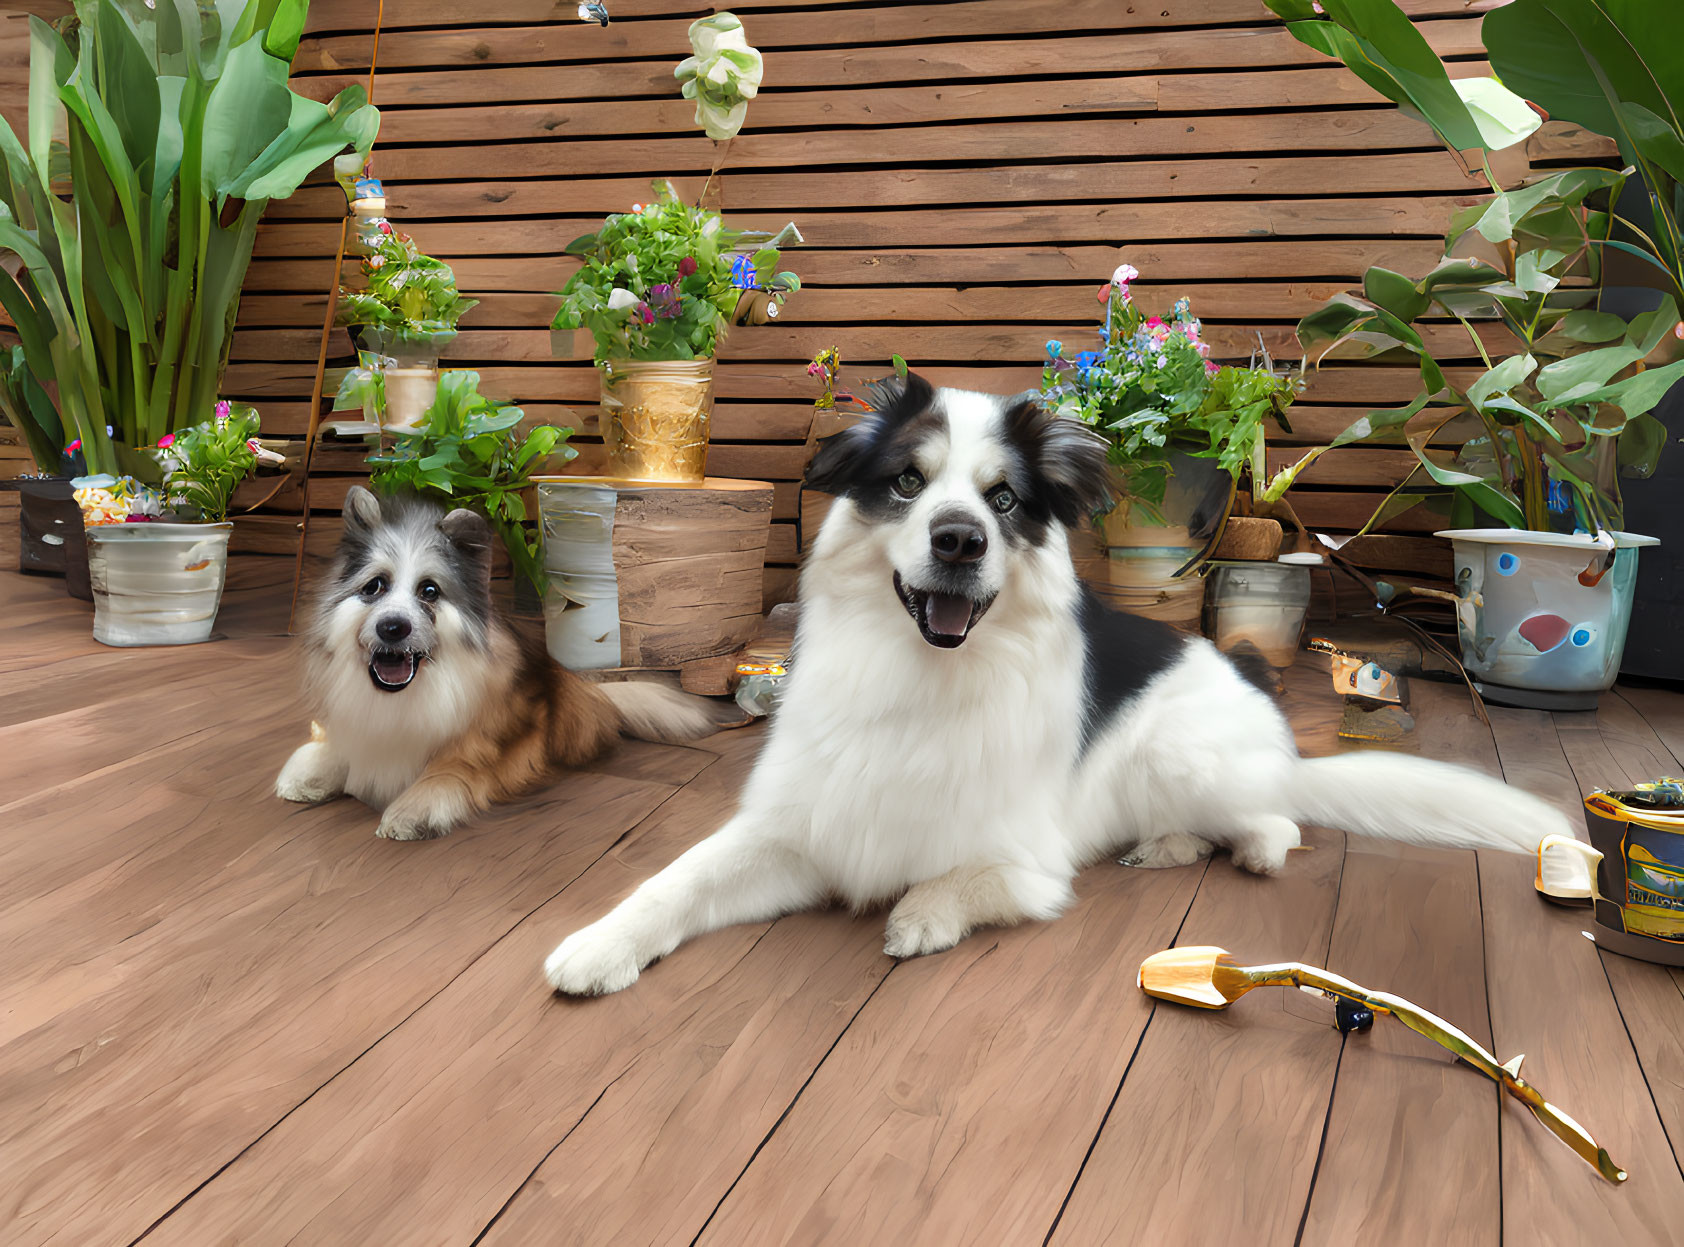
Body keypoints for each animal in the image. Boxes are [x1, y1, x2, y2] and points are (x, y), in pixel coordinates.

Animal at [274, 488, 717, 839]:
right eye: (374, 586)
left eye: (429, 591)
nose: (393, 627)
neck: (400, 695)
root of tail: (591, 691)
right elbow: (338, 745)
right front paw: (310, 773)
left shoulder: (476, 746)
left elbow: (448, 770)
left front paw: (411, 811)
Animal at [542, 375, 1562, 997]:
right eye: (907, 482)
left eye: (1003, 500)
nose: (959, 539)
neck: (923, 676)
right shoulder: (799, 828)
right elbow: (676, 880)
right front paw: (600, 943)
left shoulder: (1026, 862)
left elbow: (966, 876)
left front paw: (922, 913)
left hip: (1185, 753)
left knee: (1278, 822)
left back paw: (1231, 846)